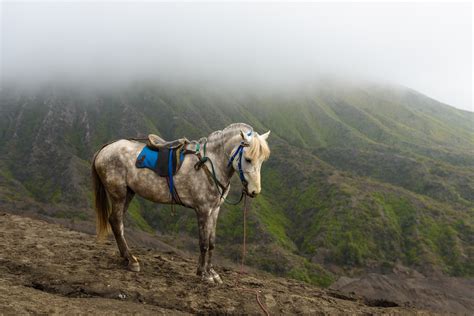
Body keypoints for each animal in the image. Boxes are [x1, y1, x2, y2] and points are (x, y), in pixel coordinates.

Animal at [91, 122, 270, 282]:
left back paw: (126, 258)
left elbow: (212, 242)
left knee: (116, 221)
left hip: (128, 193)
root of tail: (105, 149)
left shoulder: (215, 210)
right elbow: (204, 243)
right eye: (248, 159)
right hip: (119, 194)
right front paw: (204, 274)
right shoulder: (203, 210)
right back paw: (131, 260)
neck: (209, 163)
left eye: (262, 160)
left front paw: (212, 272)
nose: (254, 191)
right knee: (117, 222)